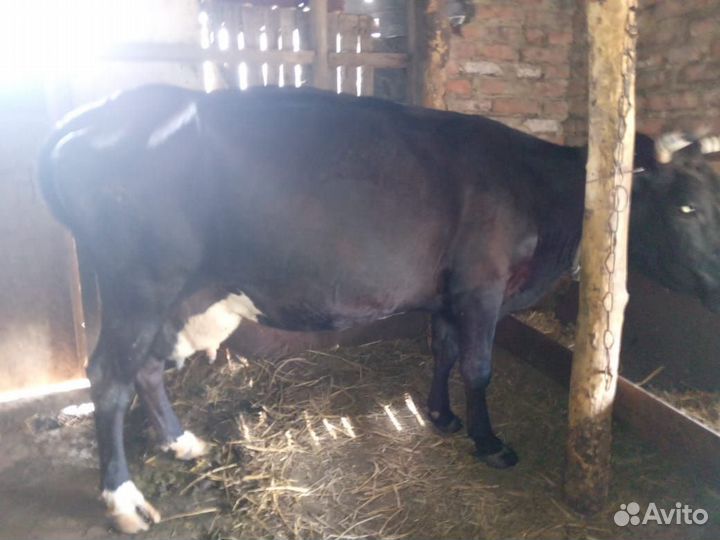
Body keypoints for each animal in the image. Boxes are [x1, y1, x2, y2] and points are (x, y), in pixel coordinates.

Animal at [38, 85, 720, 533]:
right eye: (686, 207)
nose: (716, 283)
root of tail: (90, 115)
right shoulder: (482, 286)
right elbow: (479, 366)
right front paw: (488, 441)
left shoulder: (448, 292)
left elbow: (444, 351)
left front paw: (441, 416)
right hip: (138, 284)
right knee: (109, 377)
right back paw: (124, 500)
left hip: (173, 294)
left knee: (148, 368)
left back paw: (182, 443)